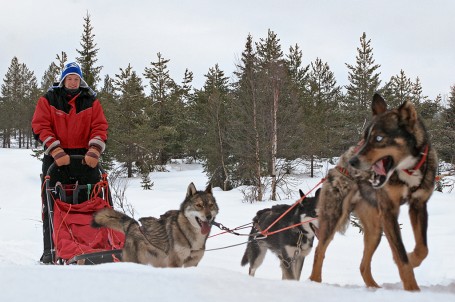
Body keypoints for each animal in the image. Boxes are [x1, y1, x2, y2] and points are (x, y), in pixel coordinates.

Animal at [310, 93, 438, 292]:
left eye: (378, 138)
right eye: (365, 137)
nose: (353, 161)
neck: (407, 171)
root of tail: (339, 163)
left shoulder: (418, 206)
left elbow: (422, 248)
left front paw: (413, 259)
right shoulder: (389, 212)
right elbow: (401, 256)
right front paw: (412, 290)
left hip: (375, 229)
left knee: (363, 265)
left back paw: (373, 288)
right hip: (334, 217)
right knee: (319, 250)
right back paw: (315, 283)